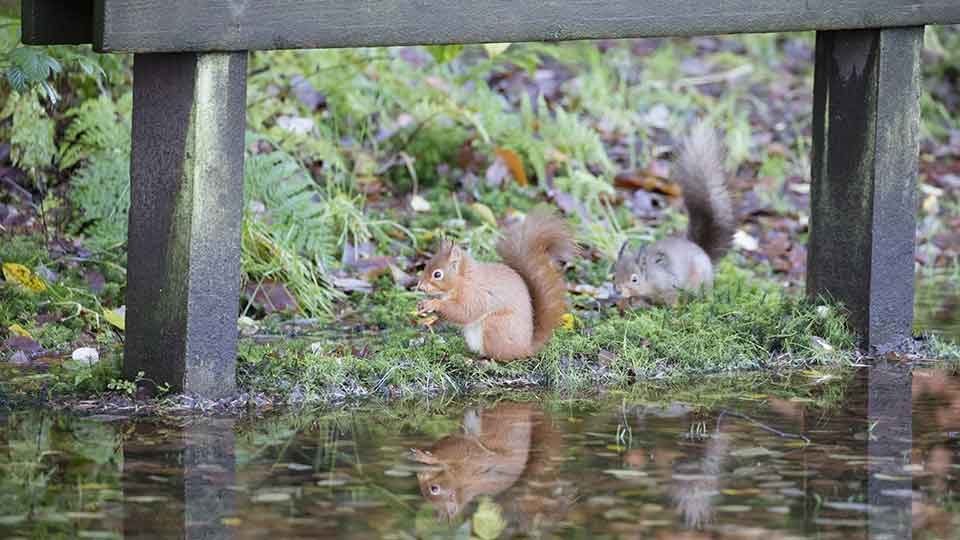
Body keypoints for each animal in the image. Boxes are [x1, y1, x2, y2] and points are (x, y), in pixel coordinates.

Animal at [414, 207, 576, 362]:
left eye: (437, 274)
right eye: (426, 265)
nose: (420, 287)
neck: (463, 280)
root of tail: (526, 348)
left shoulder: (475, 295)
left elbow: (464, 312)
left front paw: (434, 304)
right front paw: (423, 305)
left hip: (495, 327)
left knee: (502, 356)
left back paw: (484, 361)